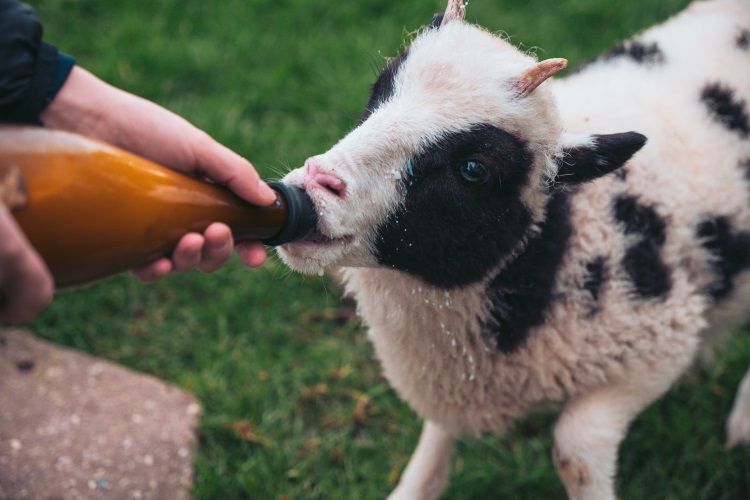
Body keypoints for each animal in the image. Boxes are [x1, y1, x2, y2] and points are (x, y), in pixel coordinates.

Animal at [280, 1, 750, 498]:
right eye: (378, 91)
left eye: (474, 169)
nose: (311, 189)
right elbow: (437, 436)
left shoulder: (663, 341)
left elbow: (576, 449)